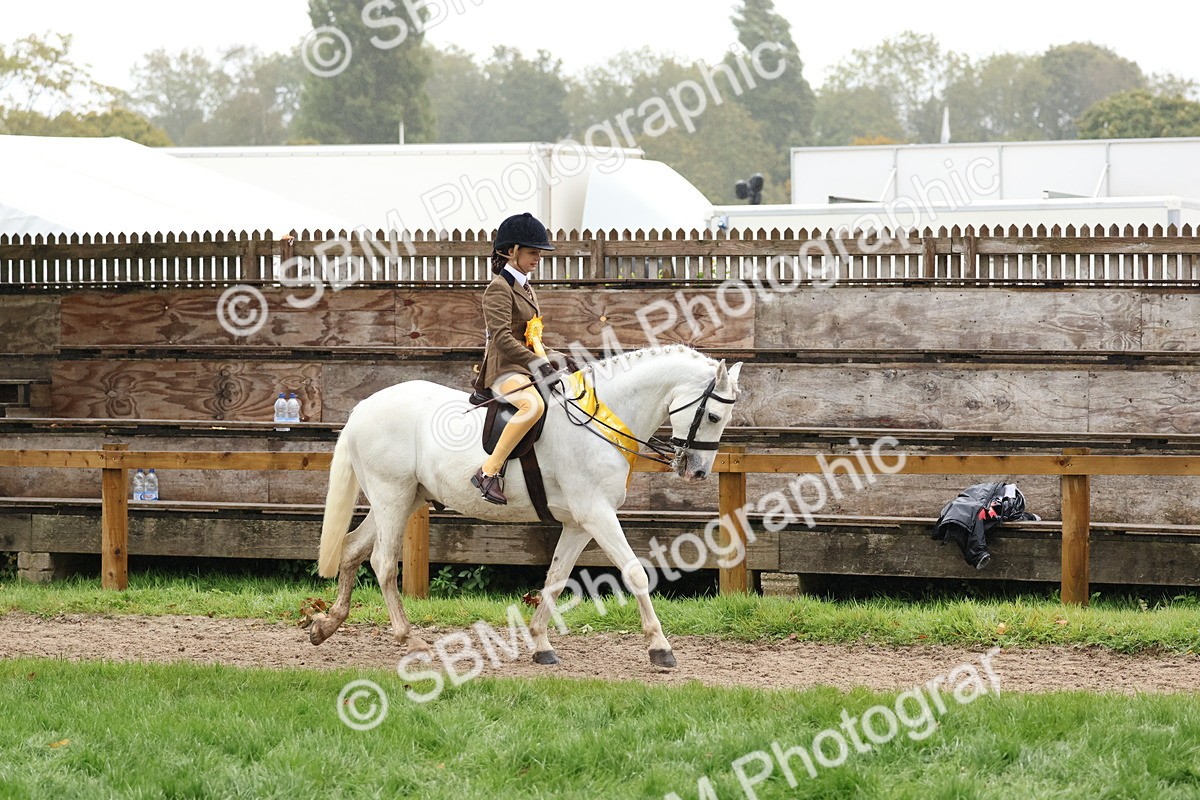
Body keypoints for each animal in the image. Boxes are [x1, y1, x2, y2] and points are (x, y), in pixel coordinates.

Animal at [310, 344, 743, 668]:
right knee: (382, 562)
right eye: (714, 415)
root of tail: (363, 407)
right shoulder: (597, 514)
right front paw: (660, 648)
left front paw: (540, 644)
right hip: (392, 495)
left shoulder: (580, 524)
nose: (697, 471)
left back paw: (325, 625)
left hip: (402, 498)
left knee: (352, 549)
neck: (600, 420)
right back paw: (411, 641)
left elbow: (556, 578)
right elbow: (635, 572)